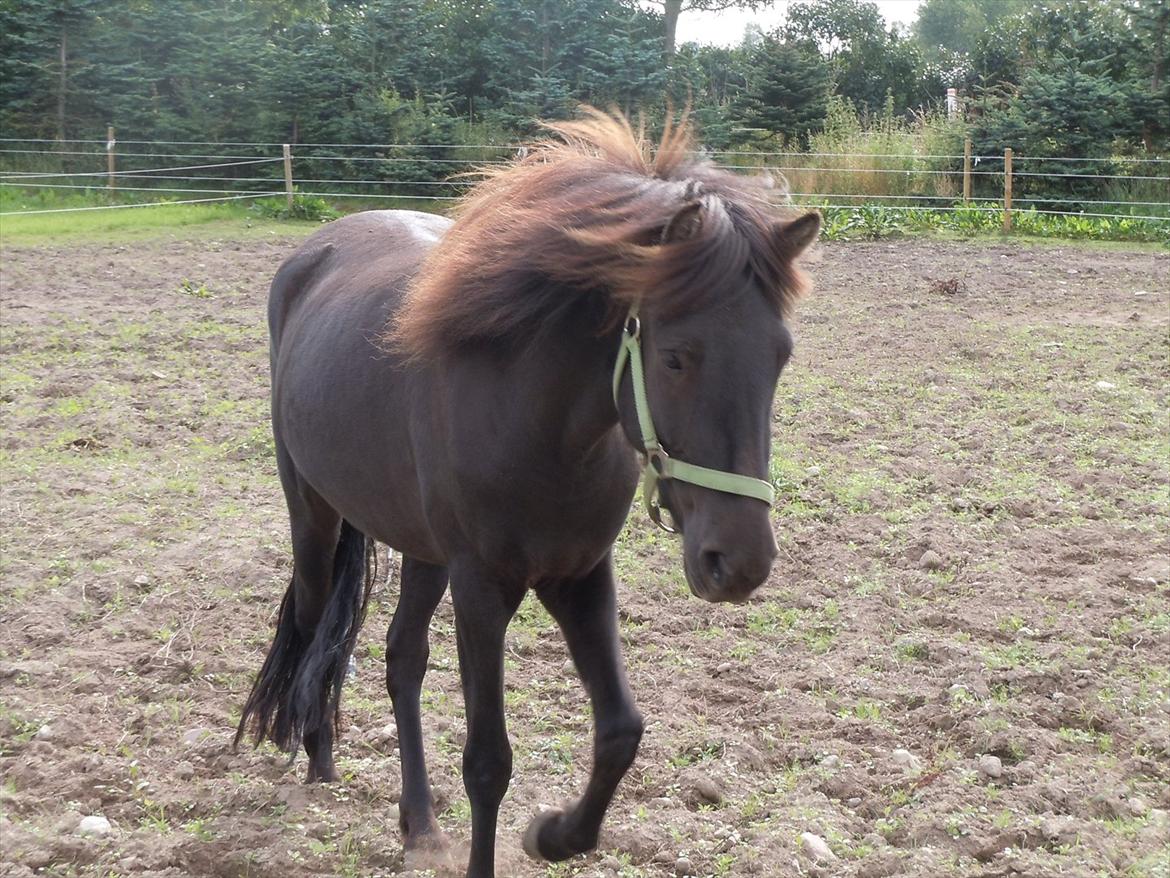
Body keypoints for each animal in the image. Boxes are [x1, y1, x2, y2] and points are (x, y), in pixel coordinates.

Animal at [235, 111, 823, 878]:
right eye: (674, 357)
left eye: (780, 356)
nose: (740, 562)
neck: (537, 423)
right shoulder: (483, 588)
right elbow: (488, 761)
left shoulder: (579, 575)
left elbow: (621, 730)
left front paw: (554, 834)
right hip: (315, 517)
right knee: (314, 631)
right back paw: (316, 754)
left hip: (425, 553)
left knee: (401, 659)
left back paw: (418, 822)